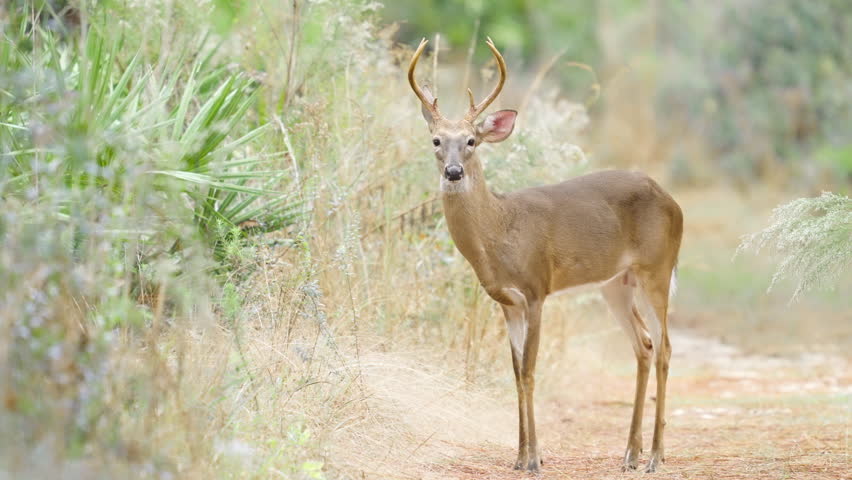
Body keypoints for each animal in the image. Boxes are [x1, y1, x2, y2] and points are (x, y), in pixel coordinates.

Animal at [407, 37, 683, 473]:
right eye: (436, 140)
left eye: (471, 141)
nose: (453, 172)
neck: (500, 231)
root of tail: (673, 201)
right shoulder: (506, 302)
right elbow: (515, 371)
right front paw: (520, 457)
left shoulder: (536, 289)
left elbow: (531, 370)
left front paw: (535, 458)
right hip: (616, 283)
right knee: (643, 345)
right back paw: (630, 454)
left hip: (657, 268)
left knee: (666, 347)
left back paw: (655, 456)